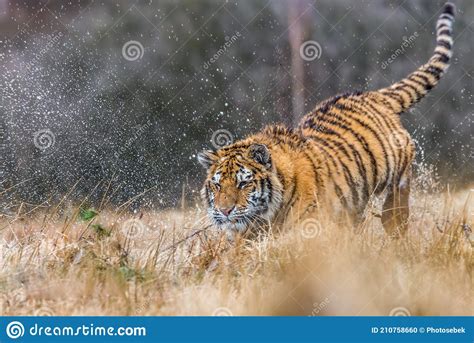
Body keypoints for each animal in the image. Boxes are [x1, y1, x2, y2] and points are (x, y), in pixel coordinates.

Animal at [196, 3, 456, 239]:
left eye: (243, 183)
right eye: (217, 185)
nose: (225, 211)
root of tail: (372, 95)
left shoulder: (311, 227)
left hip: (398, 169)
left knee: (397, 203)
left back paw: (395, 224)